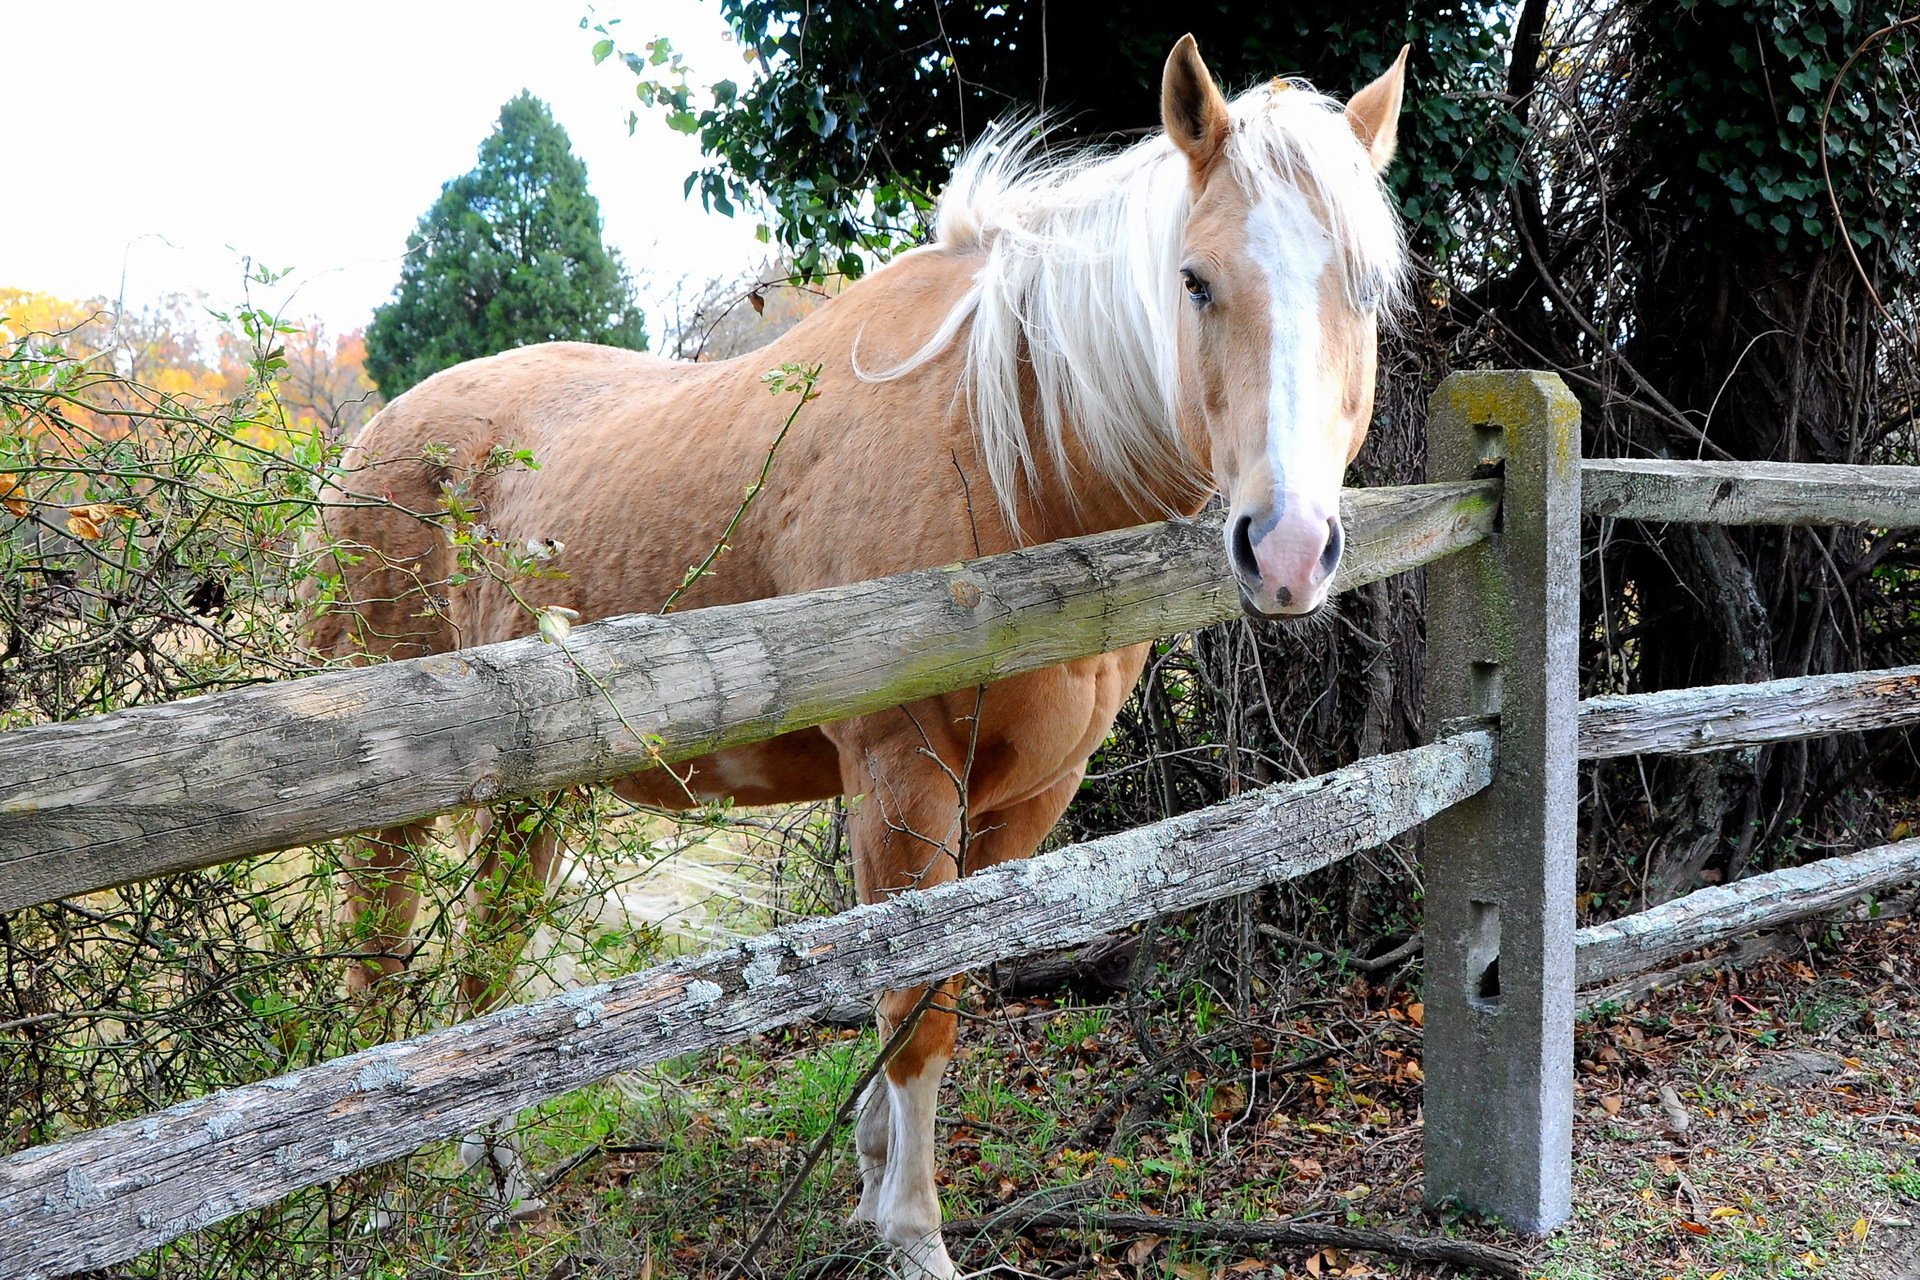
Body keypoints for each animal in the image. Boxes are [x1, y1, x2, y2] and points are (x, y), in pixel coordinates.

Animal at [312, 33, 1408, 1279]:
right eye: (1195, 280)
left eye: (1366, 288)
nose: (1289, 548)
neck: (1006, 454)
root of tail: (374, 432)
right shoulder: (902, 779)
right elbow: (909, 1006)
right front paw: (913, 1231)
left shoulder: (1024, 798)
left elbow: (936, 992)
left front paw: (875, 1185)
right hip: (396, 803)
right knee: (377, 953)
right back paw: (372, 1196)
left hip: (531, 792)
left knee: (487, 953)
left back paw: (495, 1164)